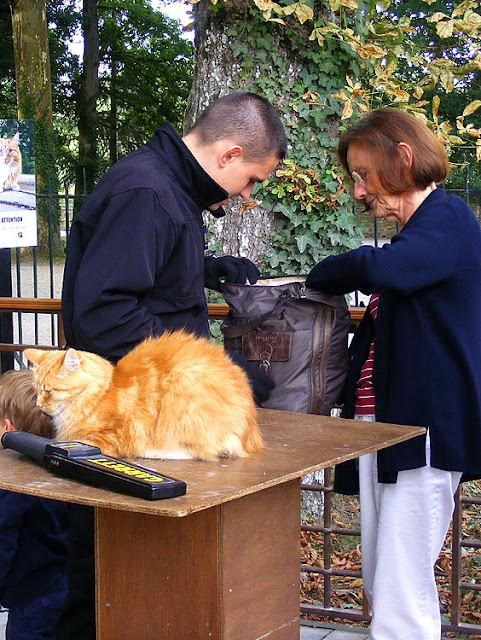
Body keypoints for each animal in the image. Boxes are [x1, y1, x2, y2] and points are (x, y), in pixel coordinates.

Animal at [23, 332, 262, 462]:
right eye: (36, 390)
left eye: (48, 391)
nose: (38, 404)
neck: (99, 395)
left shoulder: (105, 438)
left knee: (205, 451)